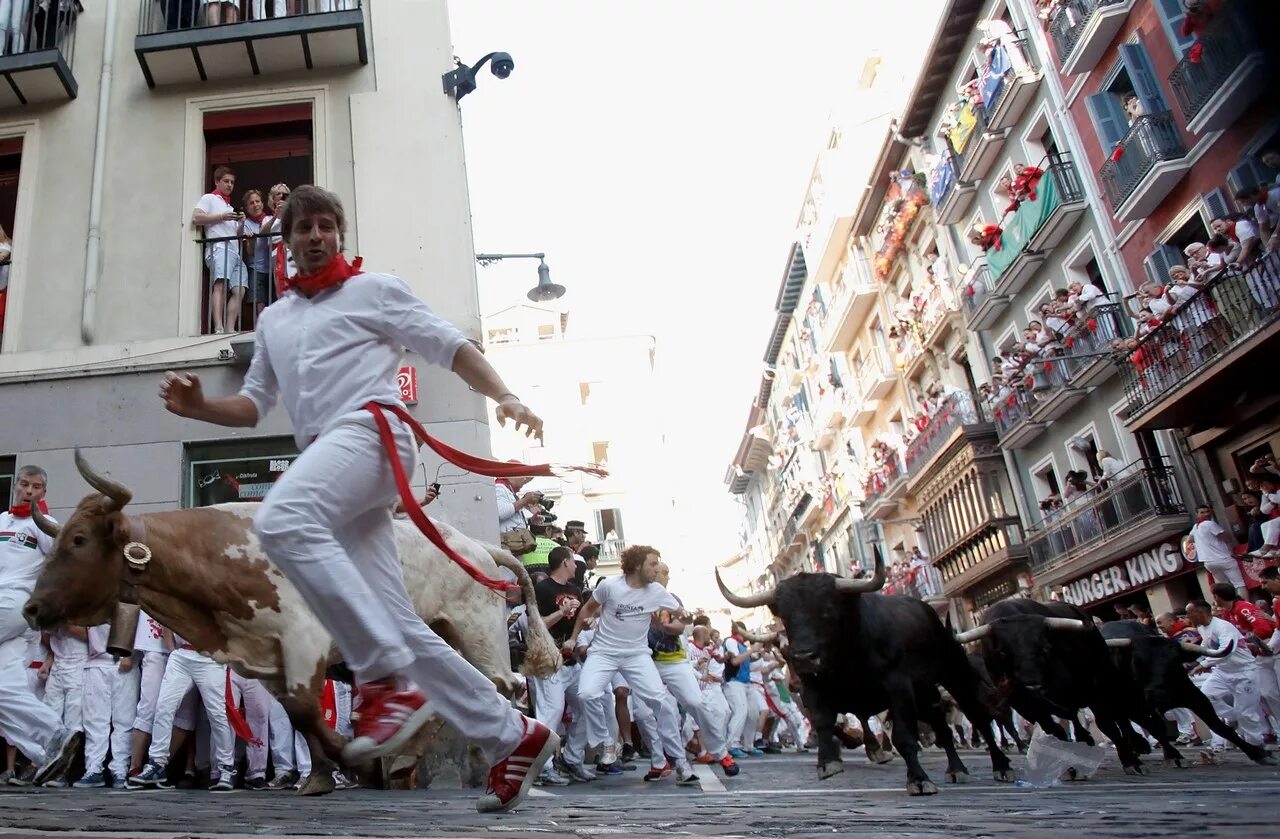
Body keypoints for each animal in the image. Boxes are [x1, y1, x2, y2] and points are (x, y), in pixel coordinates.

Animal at [20, 453, 558, 794]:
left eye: (79, 540)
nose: (31, 610)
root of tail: (477, 546)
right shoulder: (265, 658)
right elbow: (300, 718)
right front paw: (322, 776)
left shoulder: (305, 639)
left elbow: (305, 710)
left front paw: (351, 761)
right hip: (444, 633)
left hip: (479, 630)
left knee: (502, 685)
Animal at [721, 555, 1008, 799]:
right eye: (784, 615)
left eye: (827, 610)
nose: (803, 658)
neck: (846, 659)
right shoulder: (814, 690)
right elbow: (825, 723)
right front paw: (829, 761)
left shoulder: (898, 686)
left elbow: (903, 736)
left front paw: (917, 778)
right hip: (926, 691)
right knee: (942, 724)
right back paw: (956, 768)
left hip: (954, 674)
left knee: (978, 718)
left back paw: (1000, 765)